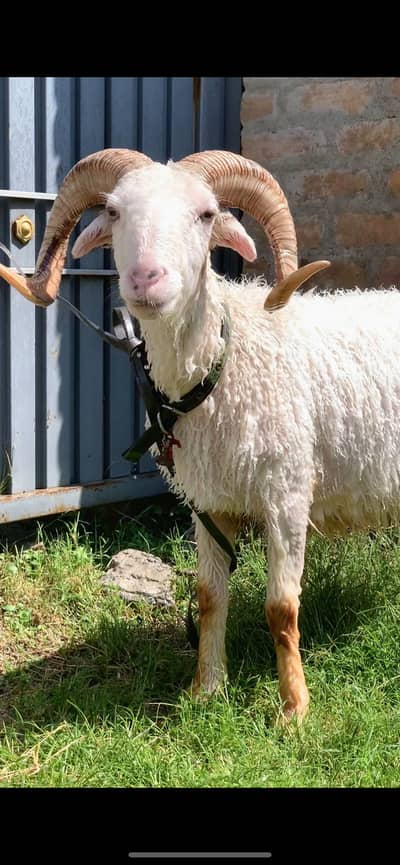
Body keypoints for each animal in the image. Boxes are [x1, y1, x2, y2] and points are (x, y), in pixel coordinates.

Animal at [1, 147, 399, 723]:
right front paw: (205, 690)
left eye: (207, 215)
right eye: (114, 212)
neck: (222, 361)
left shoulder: (287, 495)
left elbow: (282, 608)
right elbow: (211, 598)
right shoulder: (208, 502)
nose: (146, 278)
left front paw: (294, 712)